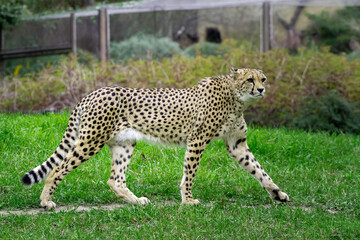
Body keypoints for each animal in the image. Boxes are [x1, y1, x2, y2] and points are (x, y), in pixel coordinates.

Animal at [21, 66, 290, 209]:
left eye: (263, 78)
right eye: (249, 79)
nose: (261, 89)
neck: (236, 97)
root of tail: (92, 93)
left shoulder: (237, 144)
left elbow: (259, 170)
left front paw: (277, 194)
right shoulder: (197, 140)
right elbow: (190, 173)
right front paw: (188, 200)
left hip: (124, 143)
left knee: (115, 179)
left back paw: (136, 201)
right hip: (90, 141)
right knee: (58, 169)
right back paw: (45, 201)